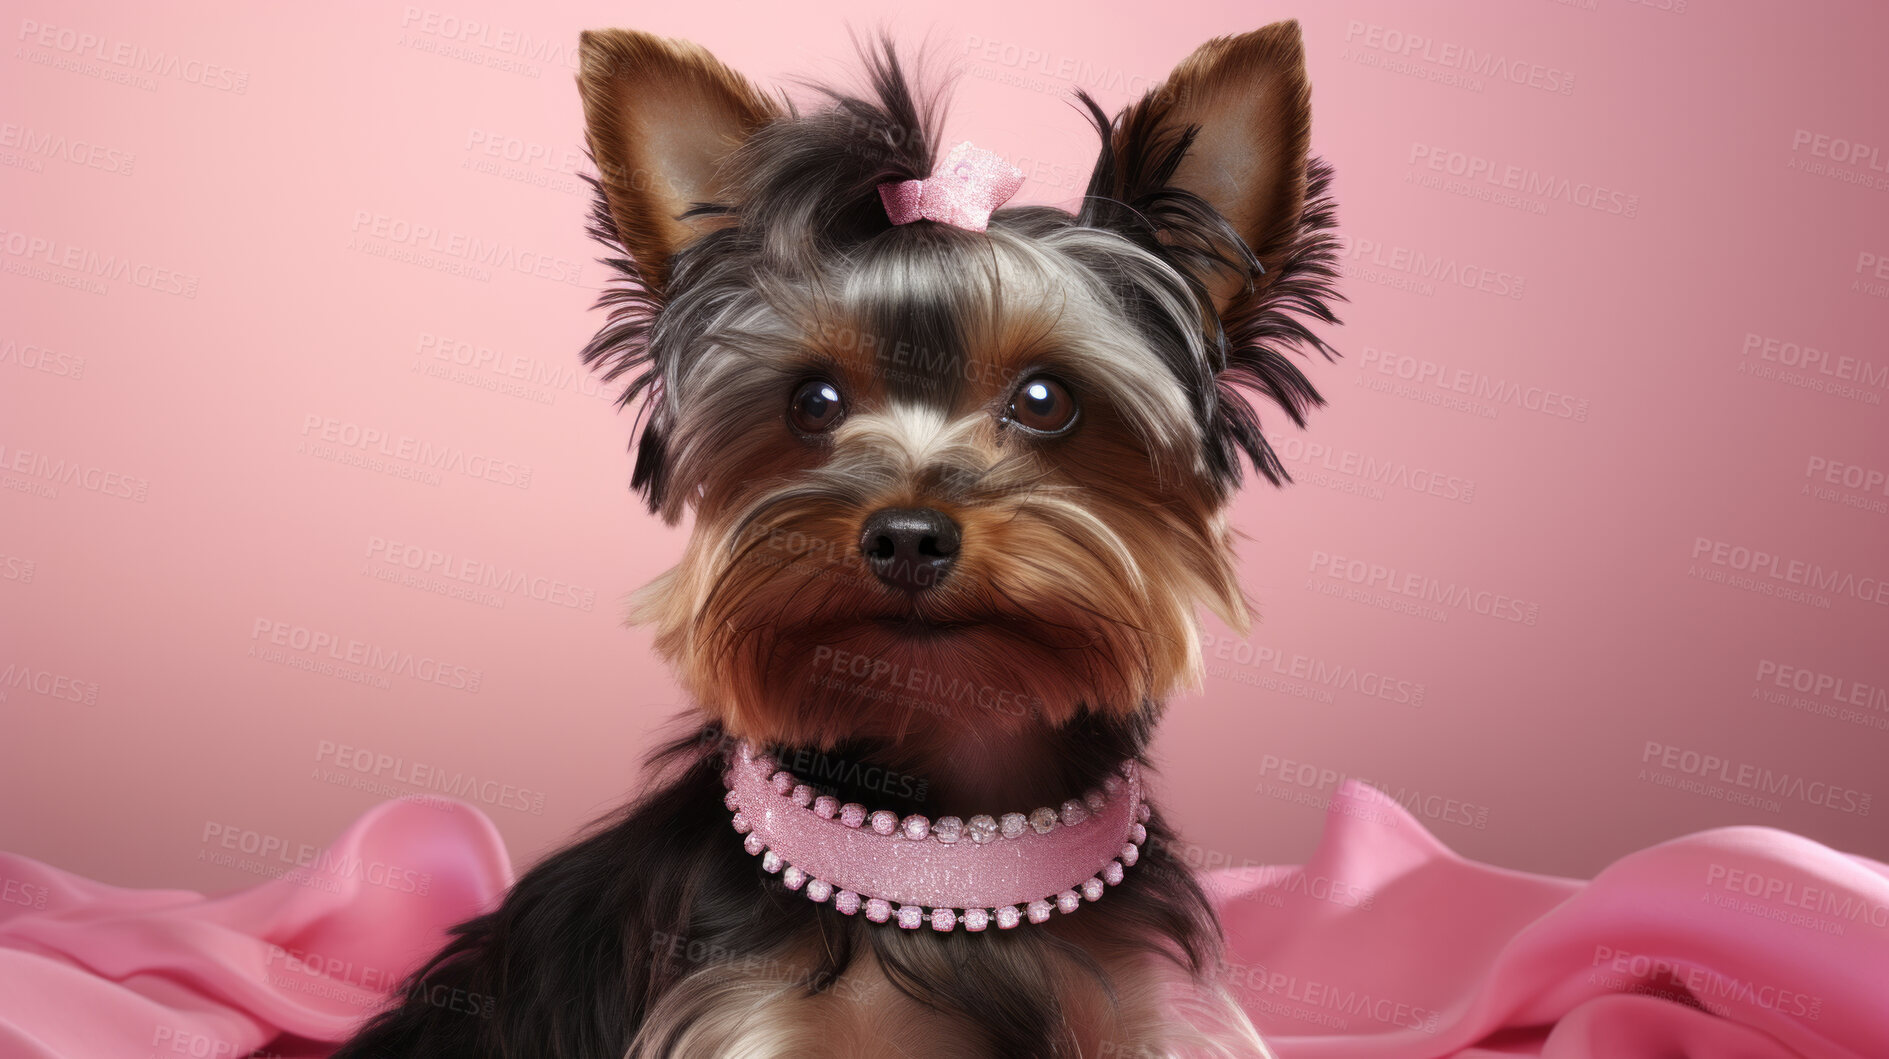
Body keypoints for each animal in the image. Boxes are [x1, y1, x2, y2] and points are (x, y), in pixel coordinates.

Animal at [340, 18, 1344, 1057]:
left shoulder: (1134, 1012)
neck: (950, 838)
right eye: (812, 401)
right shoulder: (753, 1015)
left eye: (1045, 399)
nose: (906, 536)